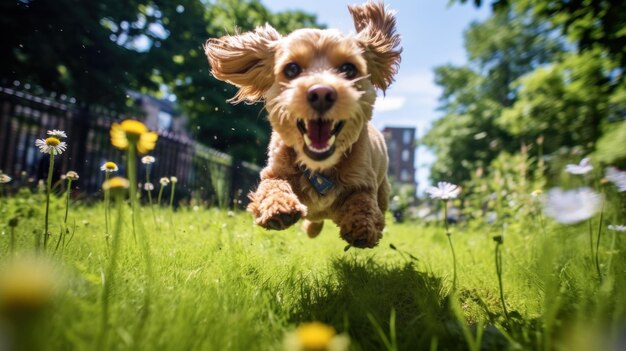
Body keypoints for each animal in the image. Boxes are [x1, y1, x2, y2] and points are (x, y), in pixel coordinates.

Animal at [205, 0, 400, 248]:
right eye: (292, 69)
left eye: (348, 69)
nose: (321, 93)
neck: (319, 168)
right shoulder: (275, 170)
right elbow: (273, 185)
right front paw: (279, 209)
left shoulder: (364, 181)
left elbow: (363, 202)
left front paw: (362, 227)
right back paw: (310, 228)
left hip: (383, 190)